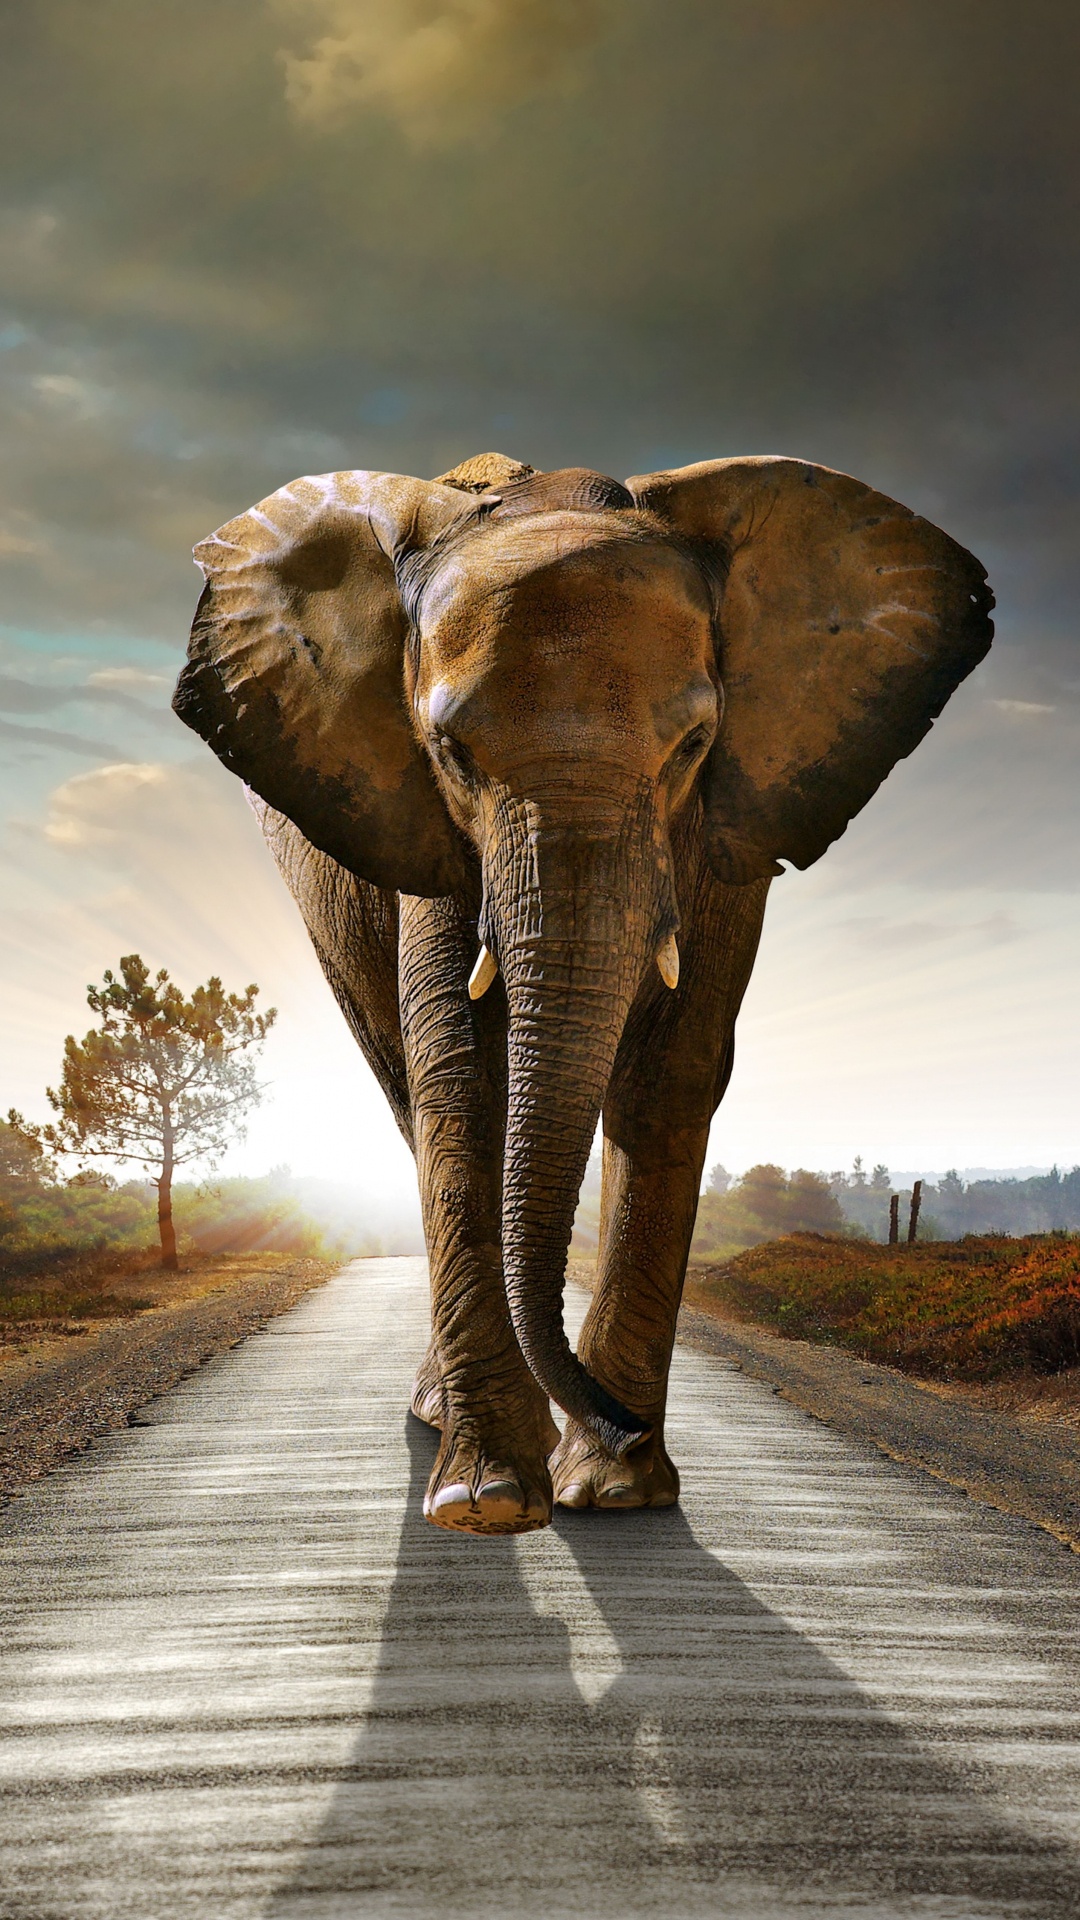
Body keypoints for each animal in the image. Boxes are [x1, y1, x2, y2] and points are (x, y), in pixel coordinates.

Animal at [173, 450, 992, 1536]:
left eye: (693, 744)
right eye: (451, 753)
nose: (621, 1422)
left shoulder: (728, 825)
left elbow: (672, 1073)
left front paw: (615, 1491)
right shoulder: (428, 830)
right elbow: (462, 1075)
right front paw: (488, 1502)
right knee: (404, 1088)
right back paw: (445, 1423)